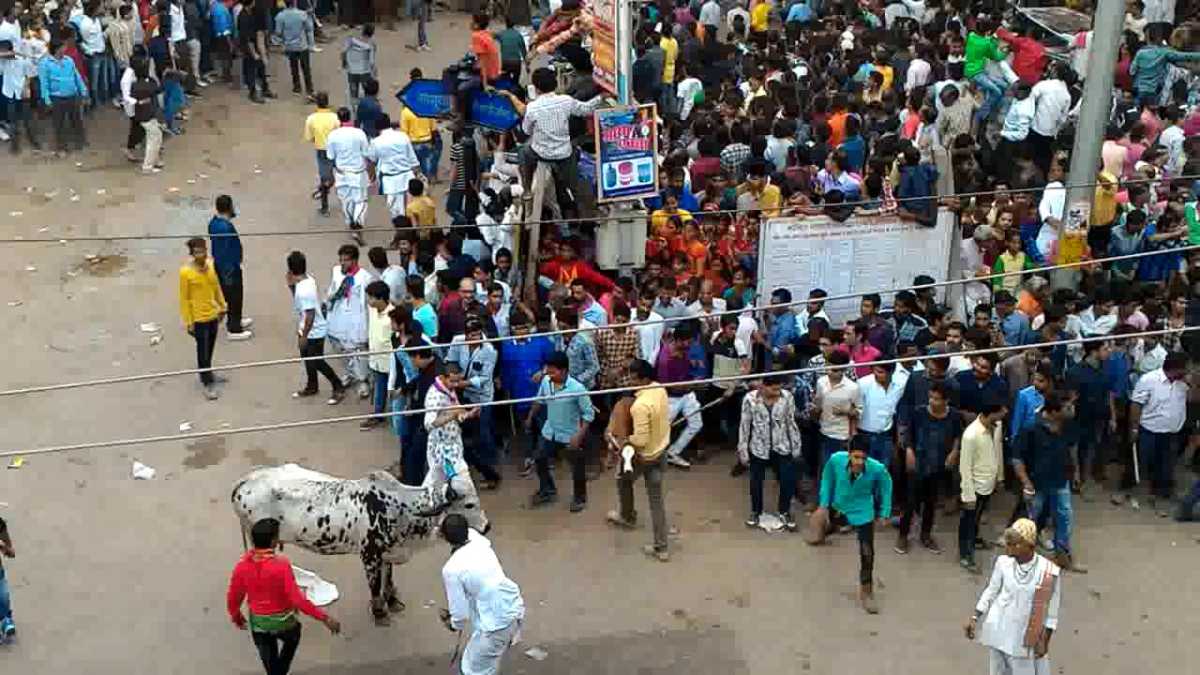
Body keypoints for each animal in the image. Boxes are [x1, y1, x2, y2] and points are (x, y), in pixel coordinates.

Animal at [229, 466, 487, 624]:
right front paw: (379, 612)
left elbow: (388, 578)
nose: (487, 526)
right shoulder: (369, 555)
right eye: (469, 505)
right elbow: (374, 586)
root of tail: (245, 480)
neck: (401, 506)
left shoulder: (387, 553)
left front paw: (392, 600)